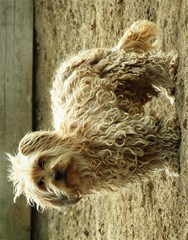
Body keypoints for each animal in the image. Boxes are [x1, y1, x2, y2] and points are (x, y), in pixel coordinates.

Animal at [7, 20, 181, 209]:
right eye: (41, 183)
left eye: (41, 162)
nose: (56, 176)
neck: (82, 150)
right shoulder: (135, 153)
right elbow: (156, 150)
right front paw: (171, 160)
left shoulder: (129, 132)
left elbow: (160, 136)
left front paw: (174, 149)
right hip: (131, 87)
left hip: (125, 70)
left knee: (154, 66)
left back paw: (171, 75)